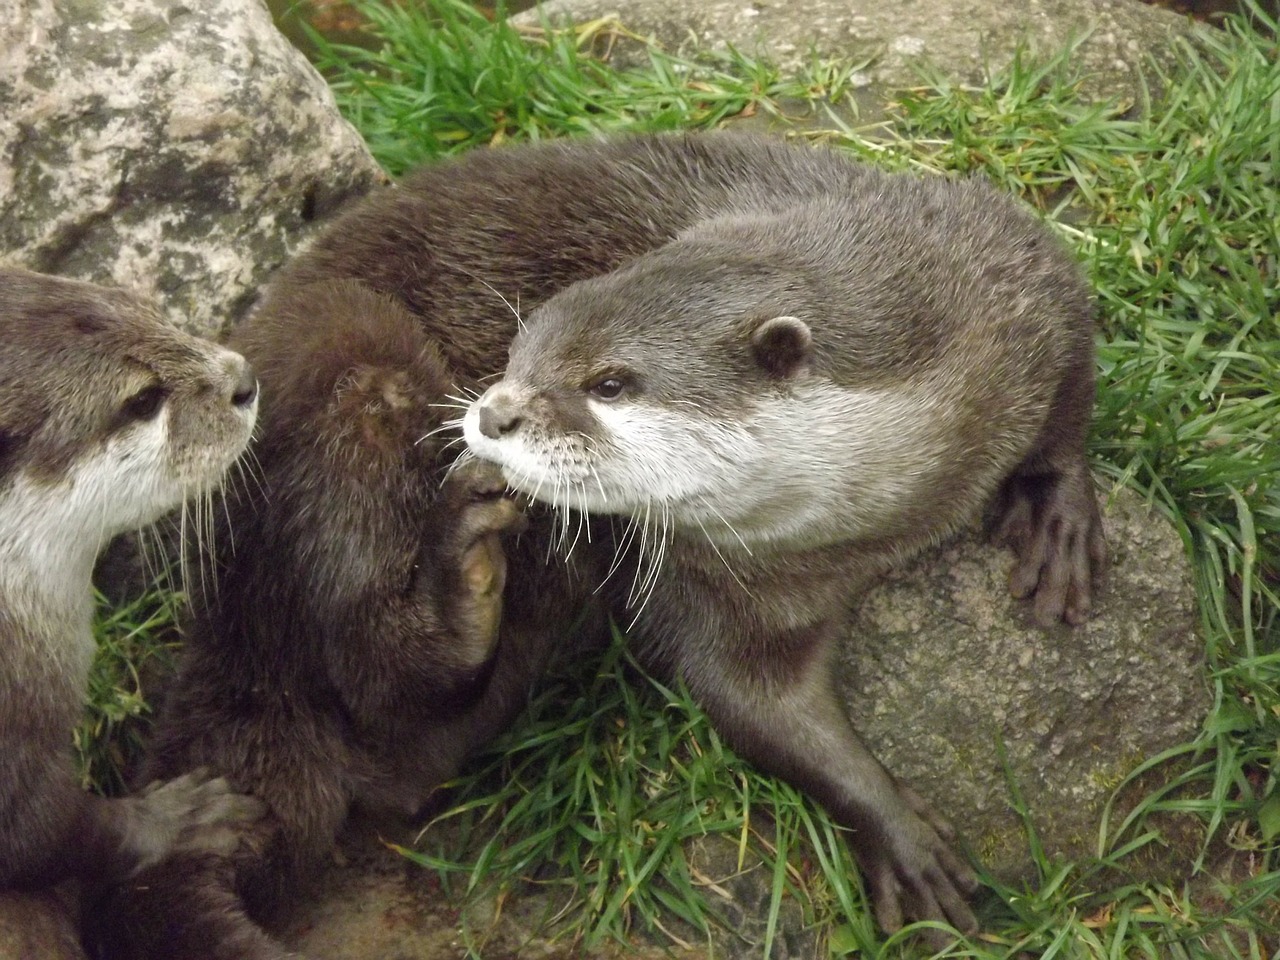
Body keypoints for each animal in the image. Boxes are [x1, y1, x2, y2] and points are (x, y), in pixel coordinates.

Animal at [97, 131, 1100, 957]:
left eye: (611, 381)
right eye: (518, 349)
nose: (493, 411)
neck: (870, 518)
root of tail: (225, 611)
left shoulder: (1004, 270)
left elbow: (1076, 351)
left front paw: (1059, 512)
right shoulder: (706, 582)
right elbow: (749, 702)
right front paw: (896, 832)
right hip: (348, 365)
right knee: (368, 651)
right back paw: (463, 577)